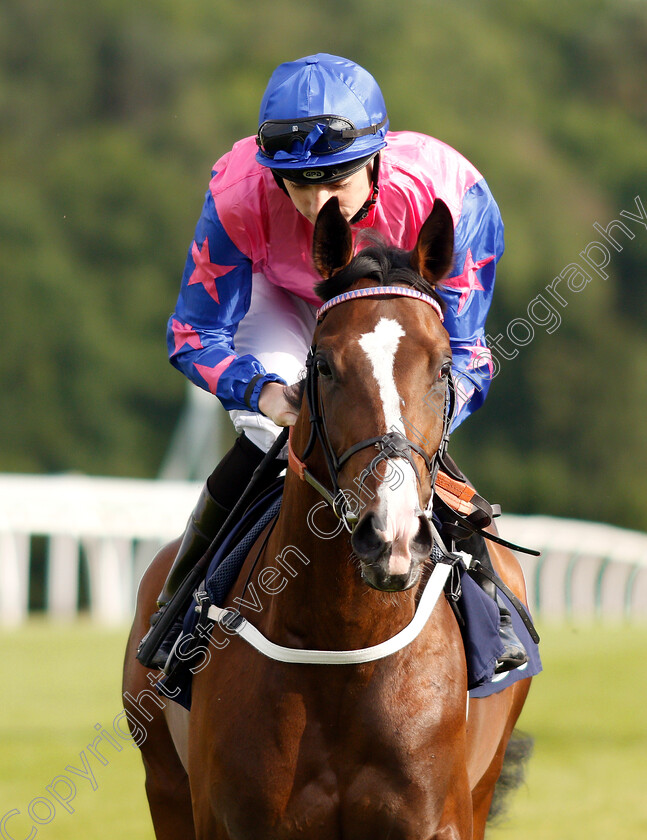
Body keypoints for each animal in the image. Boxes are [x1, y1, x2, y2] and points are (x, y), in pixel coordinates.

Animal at [123, 194, 532, 836]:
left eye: (443, 367)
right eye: (324, 366)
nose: (390, 535)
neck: (343, 650)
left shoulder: (440, 819)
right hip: (163, 782)